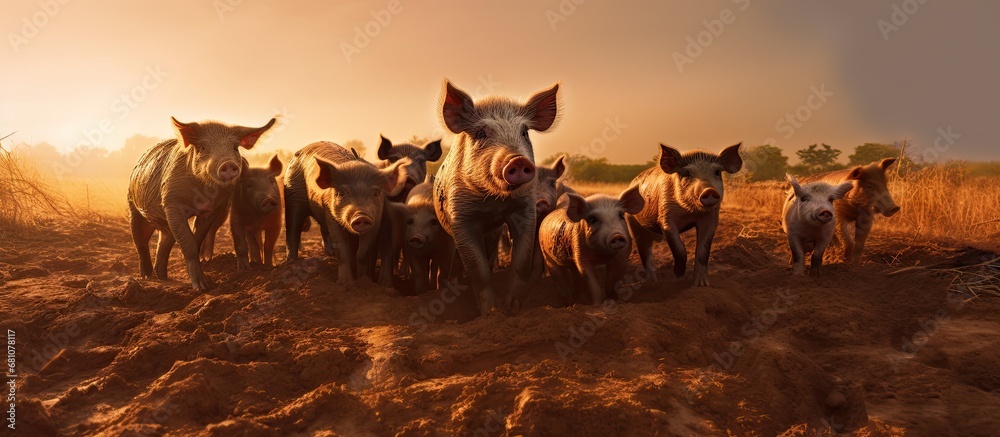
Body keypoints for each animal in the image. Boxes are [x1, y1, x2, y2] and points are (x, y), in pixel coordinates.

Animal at [128, 117, 276, 291]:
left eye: (234, 147)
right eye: (203, 147)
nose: (228, 163)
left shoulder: (214, 208)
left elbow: (197, 238)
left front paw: (206, 284)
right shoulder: (171, 202)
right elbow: (189, 242)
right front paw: (202, 287)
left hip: (164, 224)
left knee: (165, 240)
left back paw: (162, 276)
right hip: (133, 205)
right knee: (140, 241)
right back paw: (146, 276)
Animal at [283, 141, 409, 284]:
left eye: (376, 193)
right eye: (341, 193)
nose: (361, 215)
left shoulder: (376, 219)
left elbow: (363, 251)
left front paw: (364, 282)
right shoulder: (331, 215)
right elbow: (341, 247)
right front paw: (345, 283)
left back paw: (328, 255)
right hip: (292, 193)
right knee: (293, 227)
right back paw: (291, 263)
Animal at [433, 80, 560, 316]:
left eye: (525, 132)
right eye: (482, 133)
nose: (517, 160)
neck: (494, 203)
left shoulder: (525, 210)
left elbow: (521, 261)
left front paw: (511, 309)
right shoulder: (460, 216)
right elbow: (478, 268)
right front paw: (489, 312)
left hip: (493, 234)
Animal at [627, 143, 743, 286]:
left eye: (717, 172)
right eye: (686, 173)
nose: (709, 190)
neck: (691, 212)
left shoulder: (711, 219)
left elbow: (703, 251)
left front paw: (701, 285)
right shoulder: (666, 216)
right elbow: (679, 248)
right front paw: (678, 276)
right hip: (634, 223)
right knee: (645, 253)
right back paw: (652, 282)